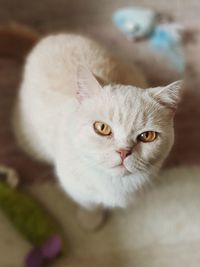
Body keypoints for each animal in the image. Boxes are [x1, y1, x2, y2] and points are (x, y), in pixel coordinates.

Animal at [12, 33, 183, 230]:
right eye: (102, 128)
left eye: (147, 136)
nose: (123, 152)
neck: (114, 184)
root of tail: (47, 38)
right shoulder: (73, 184)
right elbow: (88, 203)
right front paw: (90, 220)